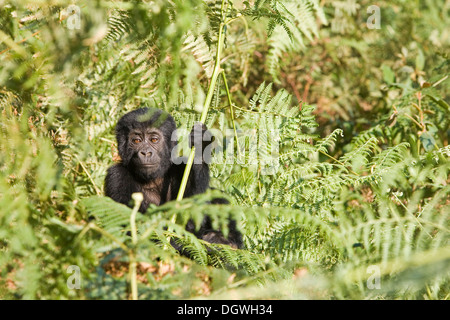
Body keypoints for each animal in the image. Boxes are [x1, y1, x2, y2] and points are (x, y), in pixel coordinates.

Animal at [105, 109, 241, 249]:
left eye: (154, 139)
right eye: (136, 141)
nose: (146, 152)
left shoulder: (180, 167)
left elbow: (194, 222)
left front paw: (200, 144)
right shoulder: (116, 177)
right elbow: (128, 230)